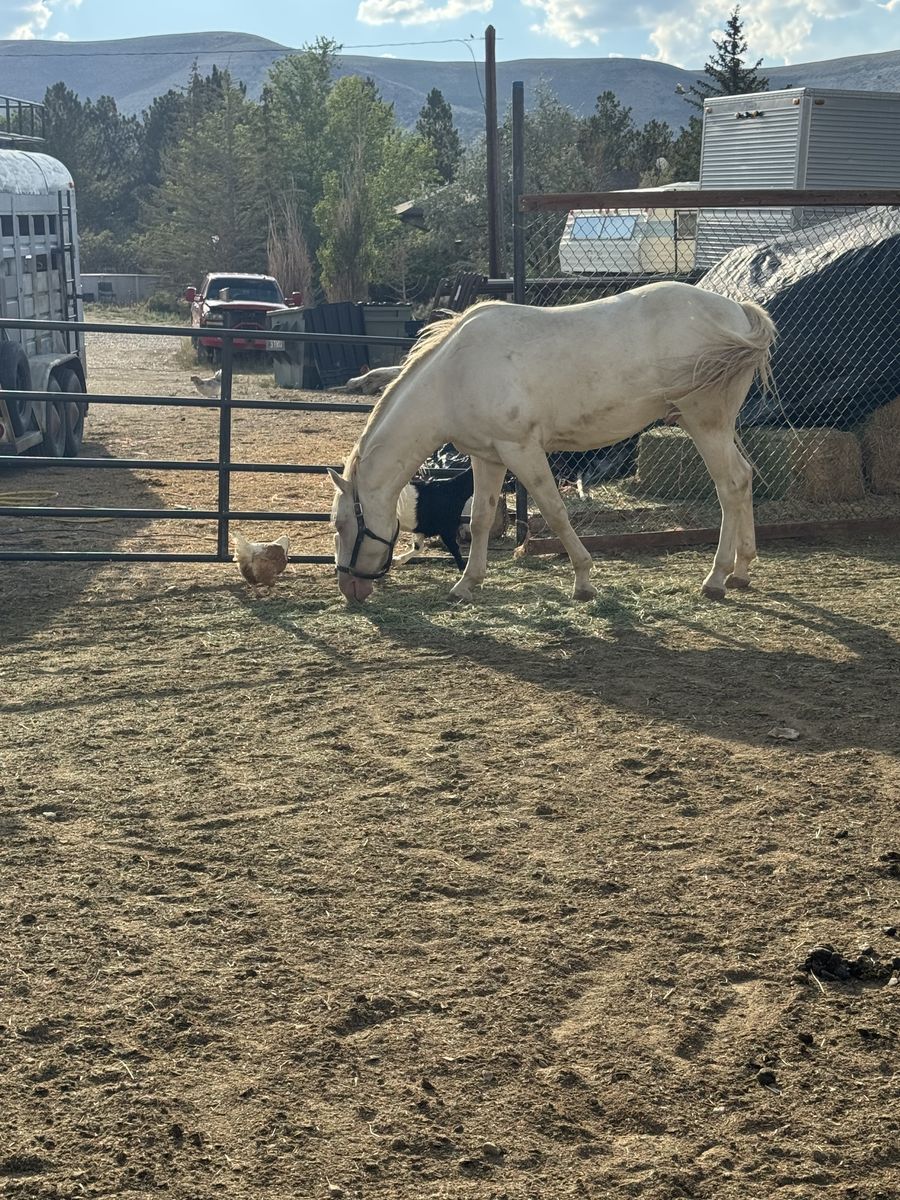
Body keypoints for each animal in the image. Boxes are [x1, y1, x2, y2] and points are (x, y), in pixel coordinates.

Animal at [328, 281, 776, 604]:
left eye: (341, 524)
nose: (349, 589)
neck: (453, 376)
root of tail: (739, 313)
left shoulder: (522, 450)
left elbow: (555, 512)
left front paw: (583, 582)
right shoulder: (488, 457)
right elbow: (481, 518)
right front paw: (466, 585)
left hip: (705, 423)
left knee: (730, 485)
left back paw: (716, 578)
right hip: (716, 426)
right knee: (745, 478)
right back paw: (742, 571)